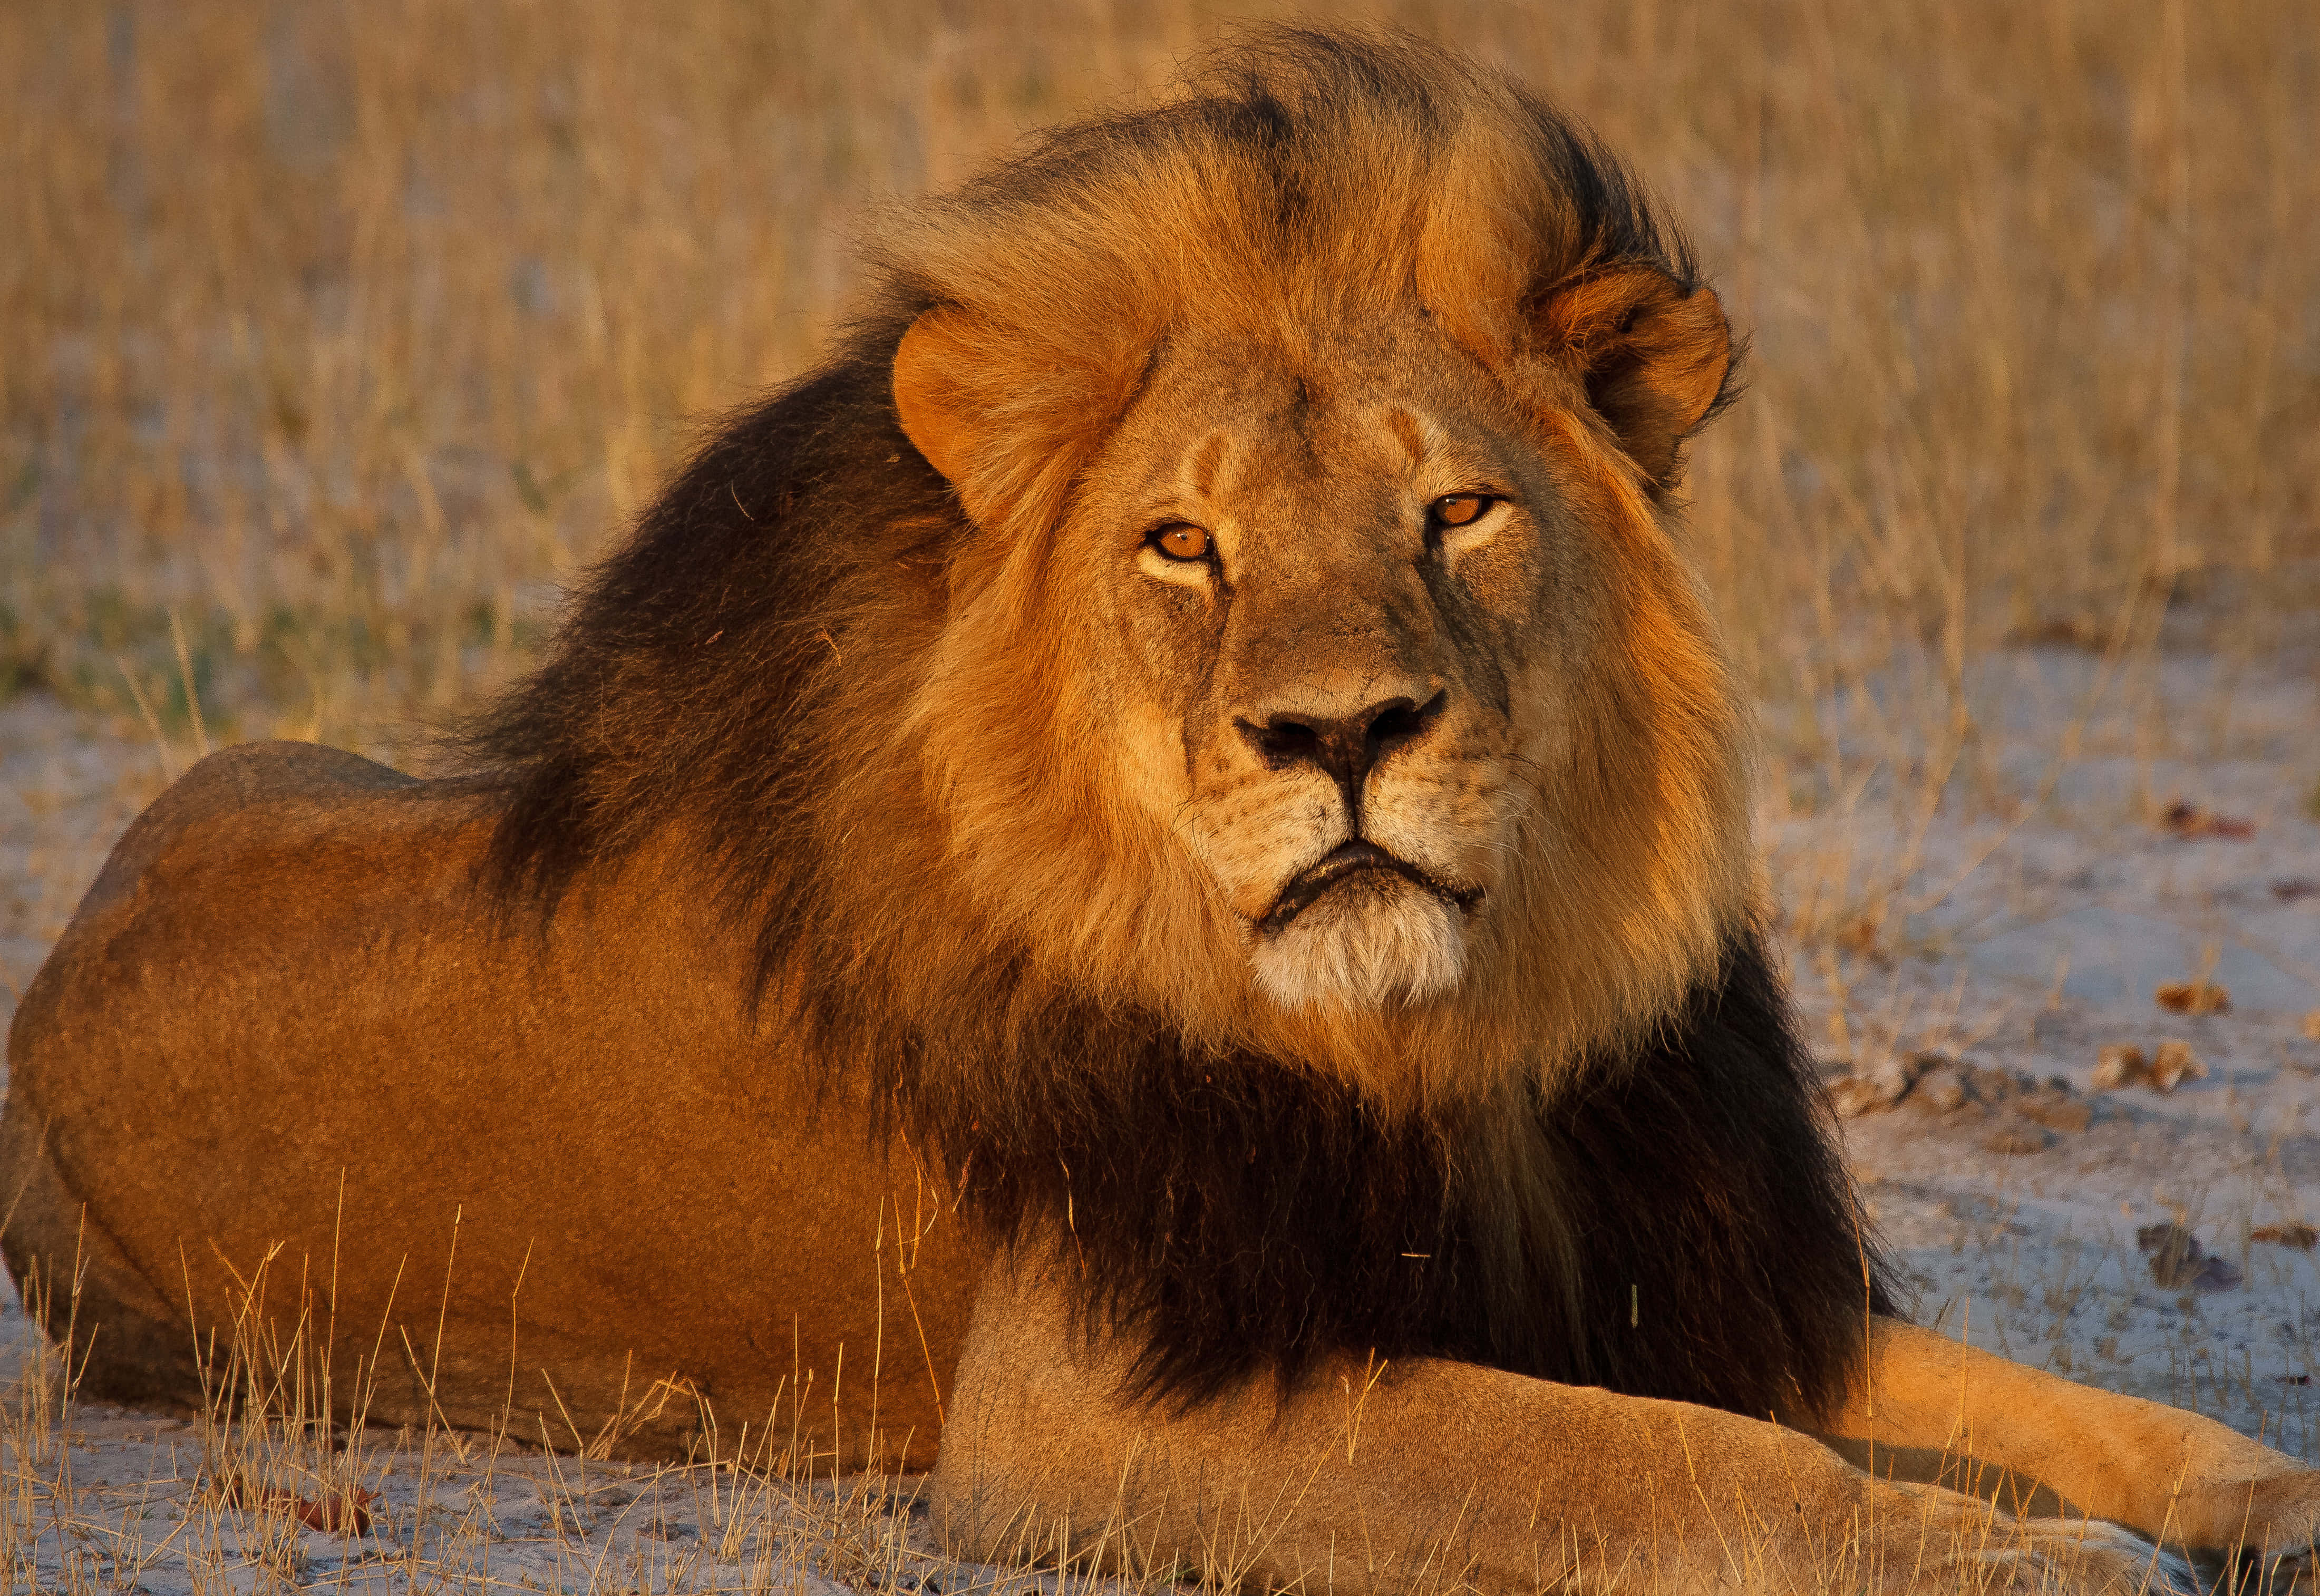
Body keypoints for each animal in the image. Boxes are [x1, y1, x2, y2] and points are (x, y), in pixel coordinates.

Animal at [3, 28, 2312, 1593]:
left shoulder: (1666, 1272)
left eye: (1457, 510)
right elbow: (1652, 1468)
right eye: (1184, 546)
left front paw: (2252, 1499)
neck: (1447, 1041)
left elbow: (2049, 1404)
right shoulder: (1092, 1407)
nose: (1342, 732)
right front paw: (2044, 1560)